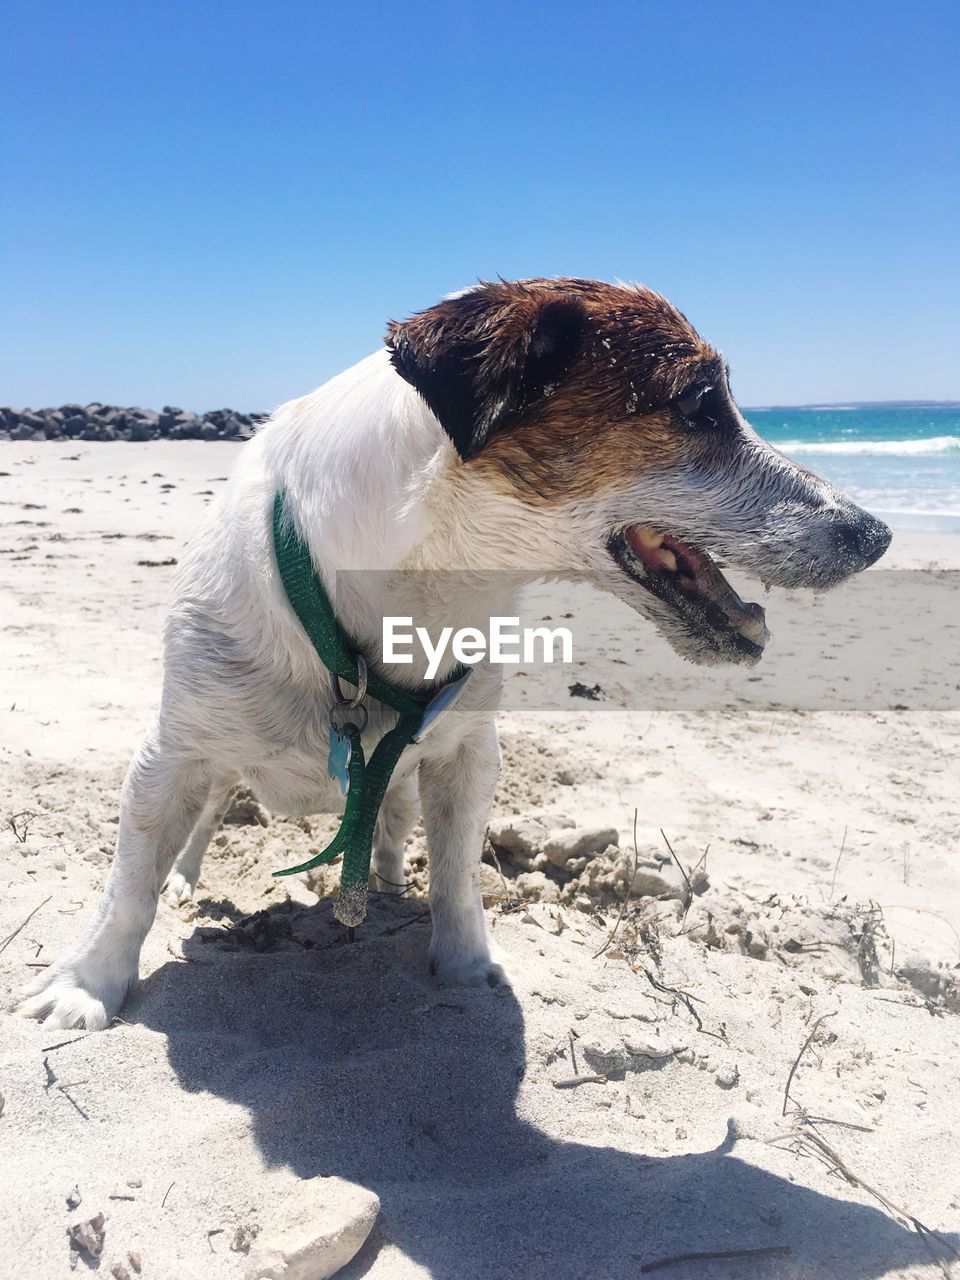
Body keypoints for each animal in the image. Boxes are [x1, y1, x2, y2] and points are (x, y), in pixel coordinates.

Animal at [18, 280, 896, 1029]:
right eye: (702, 402)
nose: (877, 534)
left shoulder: (468, 753)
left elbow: (457, 873)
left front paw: (467, 963)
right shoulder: (171, 756)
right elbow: (128, 885)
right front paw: (86, 984)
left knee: (388, 827)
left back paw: (380, 881)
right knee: (203, 824)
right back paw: (188, 877)